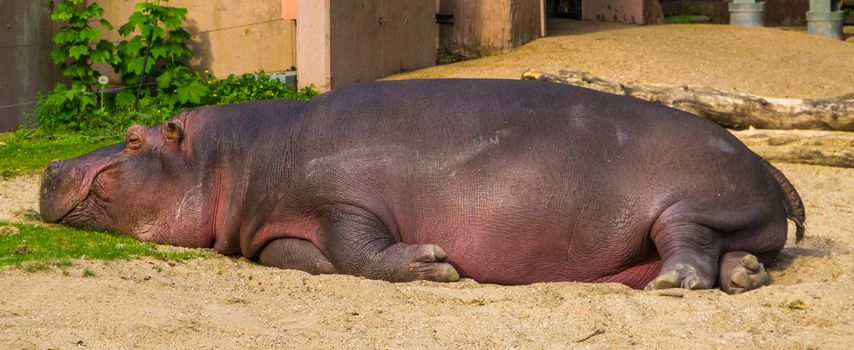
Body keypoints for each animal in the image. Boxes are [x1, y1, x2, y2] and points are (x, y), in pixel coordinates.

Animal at [40, 78, 804, 292]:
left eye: (132, 137)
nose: (48, 167)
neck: (236, 155)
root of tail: (769, 164)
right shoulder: (277, 230)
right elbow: (313, 257)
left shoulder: (343, 200)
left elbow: (358, 249)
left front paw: (436, 265)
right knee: (735, 252)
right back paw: (743, 277)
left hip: (691, 201)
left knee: (688, 240)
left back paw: (678, 284)